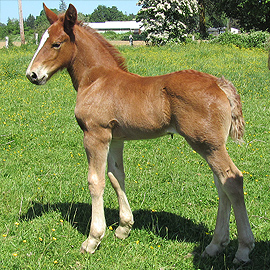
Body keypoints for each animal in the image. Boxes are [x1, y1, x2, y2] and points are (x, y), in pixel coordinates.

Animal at [24, 3, 253, 262]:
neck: (97, 79)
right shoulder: (115, 139)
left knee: (233, 181)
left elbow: (96, 181)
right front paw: (124, 227)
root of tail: (219, 84)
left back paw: (243, 249)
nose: (32, 74)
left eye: (56, 43)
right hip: (211, 146)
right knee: (221, 184)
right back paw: (215, 245)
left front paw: (93, 239)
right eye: (42, 40)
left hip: (208, 145)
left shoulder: (95, 135)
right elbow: (116, 176)